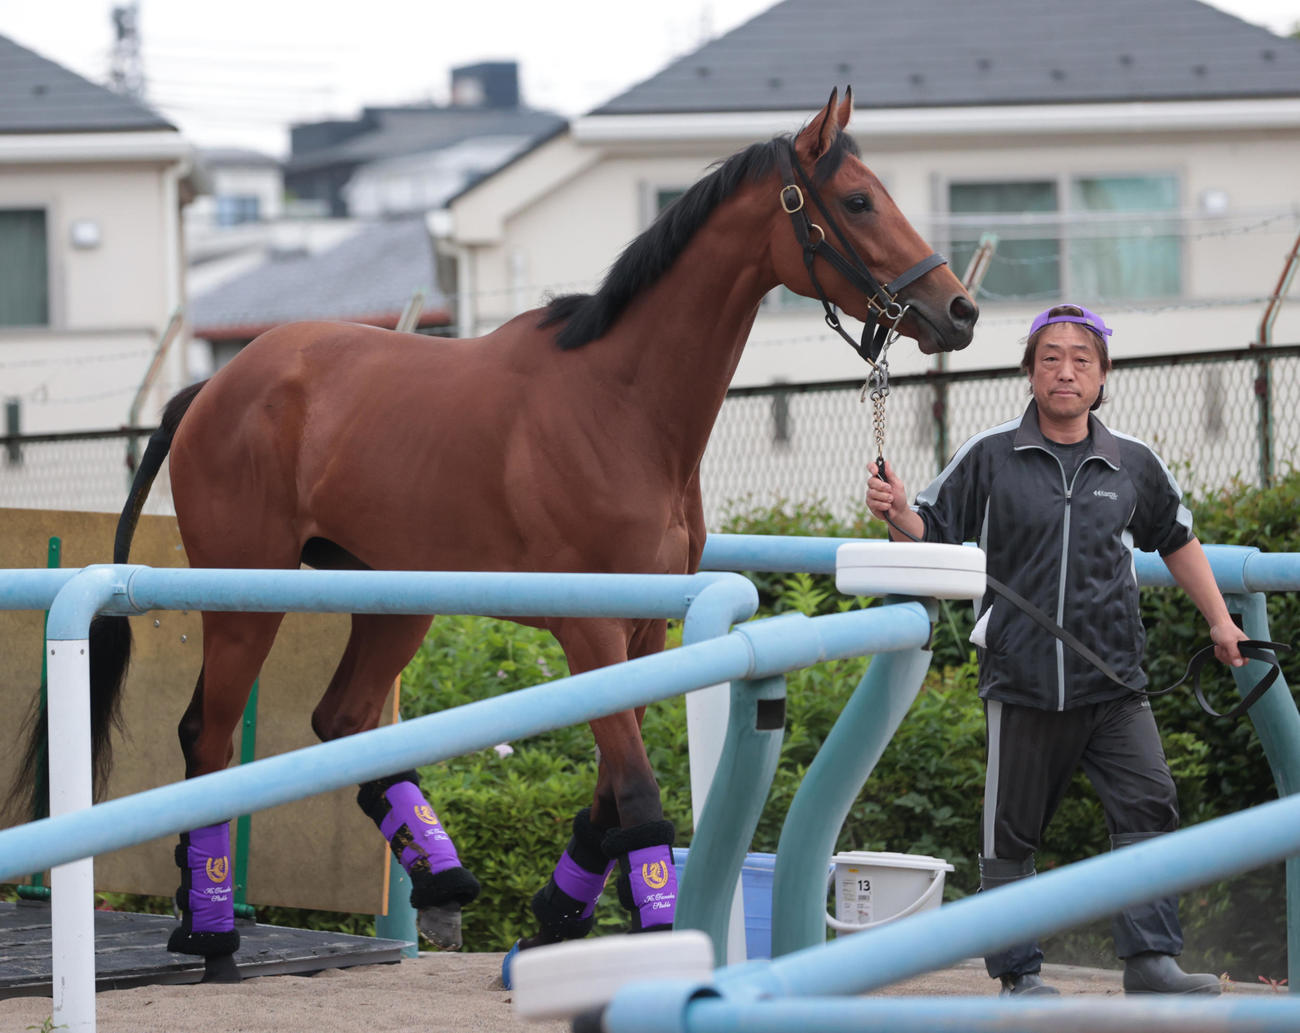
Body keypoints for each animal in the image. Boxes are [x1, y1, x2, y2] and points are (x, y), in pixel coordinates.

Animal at [17, 87, 976, 979]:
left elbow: (608, 800)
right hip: (246, 598)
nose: (958, 309)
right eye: (857, 200)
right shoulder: (591, 630)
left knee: (345, 718)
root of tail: (212, 388)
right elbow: (639, 794)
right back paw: (211, 926)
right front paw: (655, 933)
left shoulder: (645, 630)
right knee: (209, 738)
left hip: (392, 600)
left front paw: (554, 918)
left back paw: (434, 875)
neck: (622, 405)